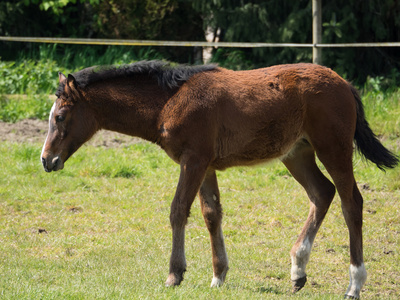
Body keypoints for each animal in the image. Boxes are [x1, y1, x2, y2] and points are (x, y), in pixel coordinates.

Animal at [40, 60, 396, 298]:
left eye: (60, 116)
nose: (46, 160)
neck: (169, 101)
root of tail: (345, 83)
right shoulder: (206, 164)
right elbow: (211, 214)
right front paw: (218, 275)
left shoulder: (194, 160)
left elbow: (178, 209)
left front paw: (174, 274)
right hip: (297, 153)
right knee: (322, 193)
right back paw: (298, 271)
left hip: (333, 148)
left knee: (352, 202)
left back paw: (354, 284)